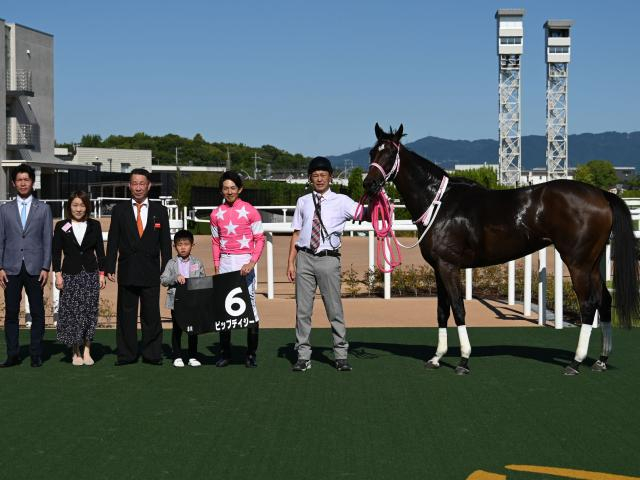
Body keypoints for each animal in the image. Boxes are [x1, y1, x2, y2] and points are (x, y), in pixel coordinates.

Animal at [362, 124, 636, 376]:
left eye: (390, 154)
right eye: (372, 152)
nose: (369, 184)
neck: (440, 204)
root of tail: (601, 194)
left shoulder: (449, 266)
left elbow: (458, 308)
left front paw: (463, 360)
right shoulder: (438, 268)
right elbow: (442, 311)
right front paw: (437, 357)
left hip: (577, 263)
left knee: (588, 305)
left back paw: (575, 362)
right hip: (592, 263)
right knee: (604, 300)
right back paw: (601, 360)